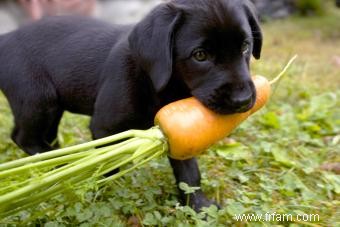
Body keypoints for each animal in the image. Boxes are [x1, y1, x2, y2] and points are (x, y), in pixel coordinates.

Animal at [0, 0, 262, 211]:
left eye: (245, 47)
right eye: (200, 55)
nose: (242, 100)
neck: (156, 81)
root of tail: (6, 38)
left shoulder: (176, 129)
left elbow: (189, 170)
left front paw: (198, 205)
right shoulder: (104, 128)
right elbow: (108, 165)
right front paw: (103, 194)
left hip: (53, 105)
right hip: (37, 98)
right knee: (24, 138)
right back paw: (63, 165)